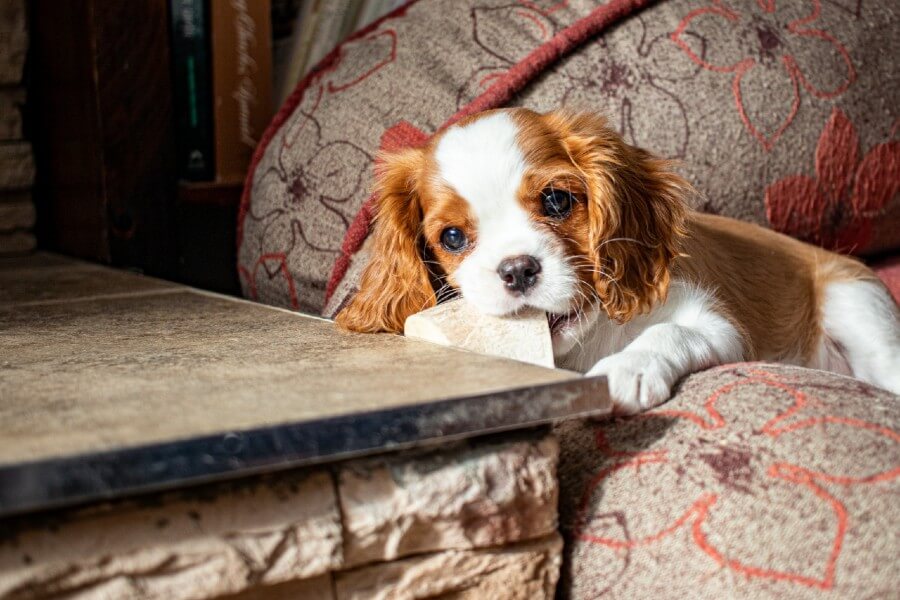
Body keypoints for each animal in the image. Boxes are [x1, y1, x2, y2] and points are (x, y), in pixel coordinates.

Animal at [338, 108, 900, 412]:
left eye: (557, 201)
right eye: (452, 237)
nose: (517, 270)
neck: (588, 340)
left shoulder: (714, 319)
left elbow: (668, 332)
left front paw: (626, 369)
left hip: (858, 306)